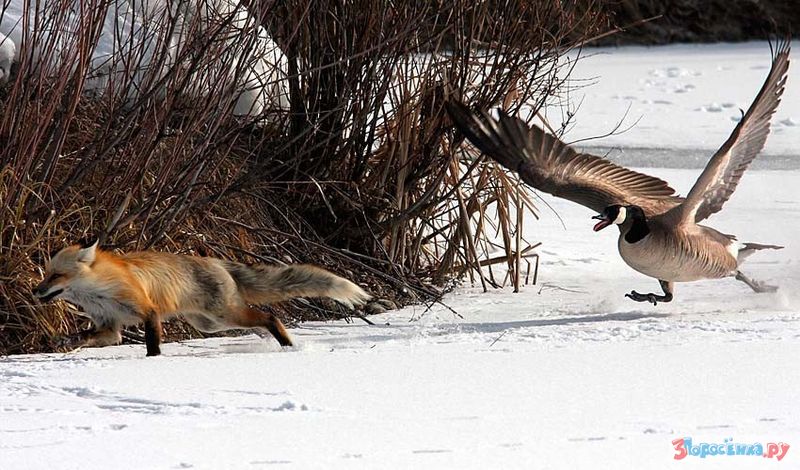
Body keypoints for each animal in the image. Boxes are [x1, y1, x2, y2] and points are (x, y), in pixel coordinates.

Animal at [33, 239, 371, 356]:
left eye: (55, 276)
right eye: (45, 274)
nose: (35, 291)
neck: (100, 292)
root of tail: (218, 261)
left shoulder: (148, 311)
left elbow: (152, 343)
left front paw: (153, 361)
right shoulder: (110, 326)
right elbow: (84, 337)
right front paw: (64, 344)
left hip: (223, 315)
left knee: (270, 316)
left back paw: (287, 345)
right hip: (210, 323)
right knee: (262, 321)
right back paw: (278, 342)